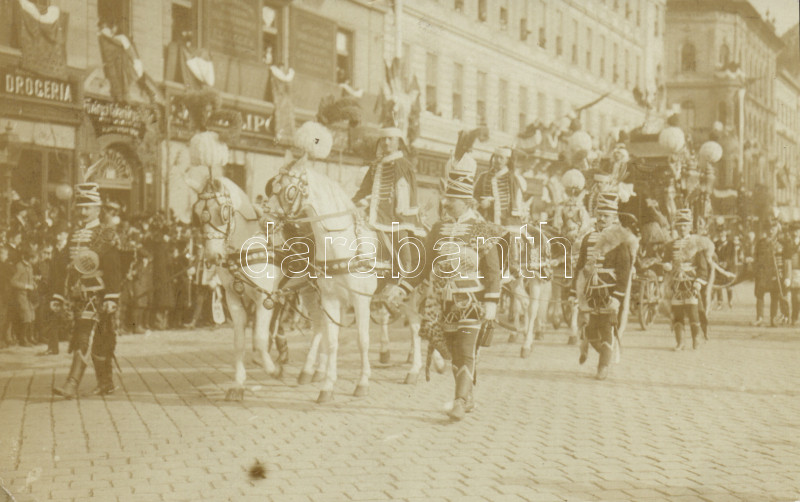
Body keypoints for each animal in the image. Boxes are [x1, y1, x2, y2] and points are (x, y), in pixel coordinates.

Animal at [185, 168, 284, 401]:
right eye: (197, 215)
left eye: (223, 212)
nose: (213, 256)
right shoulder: (233, 298)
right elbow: (239, 341)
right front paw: (238, 384)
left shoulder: (264, 297)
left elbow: (258, 338)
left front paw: (272, 368)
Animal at [266, 154, 377, 403]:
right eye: (272, 184)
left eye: (289, 190)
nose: (265, 218)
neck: (344, 245)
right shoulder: (329, 298)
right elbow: (332, 340)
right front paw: (327, 385)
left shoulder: (361, 300)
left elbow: (363, 340)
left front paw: (363, 382)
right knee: (319, 329)